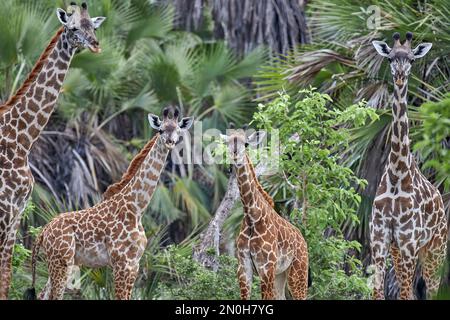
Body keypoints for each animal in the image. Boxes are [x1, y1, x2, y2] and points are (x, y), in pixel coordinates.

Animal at [0, 2, 106, 298]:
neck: (22, 140)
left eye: (93, 27)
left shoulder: (16, 215)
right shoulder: (4, 209)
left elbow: (6, 278)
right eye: (73, 28)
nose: (95, 45)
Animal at [24, 108, 193, 300]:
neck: (136, 208)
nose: (170, 142)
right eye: (161, 130)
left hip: (63, 263)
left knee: (42, 294)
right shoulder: (122, 262)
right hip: (61, 262)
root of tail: (43, 231)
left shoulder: (134, 264)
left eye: (178, 131)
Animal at [370, 32, 448, 300]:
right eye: (391, 58)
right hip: (403, 251)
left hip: (435, 249)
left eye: (412, 59)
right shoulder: (380, 240)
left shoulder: (408, 243)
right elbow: (377, 292)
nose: (400, 75)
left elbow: (405, 294)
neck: (397, 173)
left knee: (430, 290)